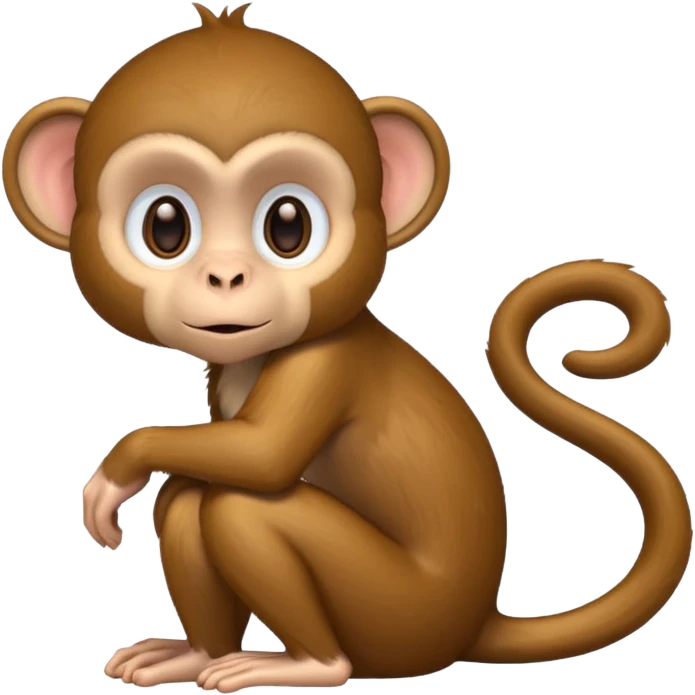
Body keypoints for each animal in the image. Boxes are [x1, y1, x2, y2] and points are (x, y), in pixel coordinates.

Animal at [2, 2, 691, 692]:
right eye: (165, 227)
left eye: (288, 226)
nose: (226, 277)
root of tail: (475, 623)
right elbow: (224, 454)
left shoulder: (323, 364)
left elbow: (262, 457)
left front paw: (120, 465)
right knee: (188, 496)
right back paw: (197, 655)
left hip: (395, 612)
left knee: (239, 507)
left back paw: (312, 663)